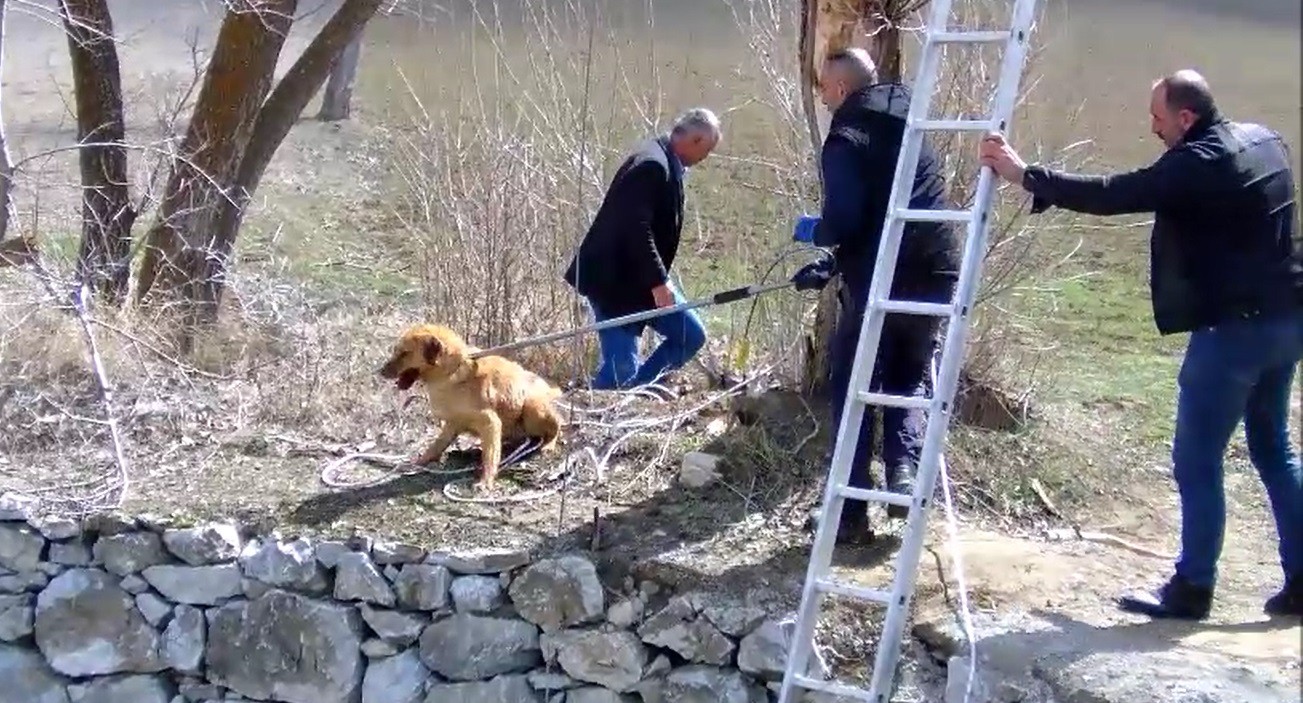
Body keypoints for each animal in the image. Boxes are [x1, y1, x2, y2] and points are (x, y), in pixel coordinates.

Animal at [377, 322, 560, 489]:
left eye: (405, 353)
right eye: (396, 351)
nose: (380, 372)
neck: (451, 373)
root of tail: (549, 389)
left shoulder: (491, 423)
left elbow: (490, 457)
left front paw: (486, 481)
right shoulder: (452, 424)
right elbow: (435, 447)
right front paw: (419, 462)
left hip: (532, 408)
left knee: (555, 428)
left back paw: (548, 445)